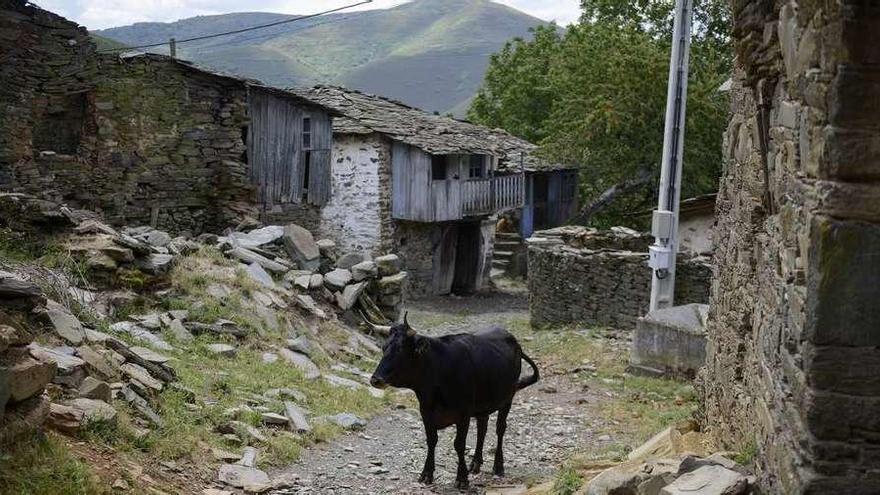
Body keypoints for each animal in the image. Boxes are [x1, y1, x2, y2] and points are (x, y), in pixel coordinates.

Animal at [368, 316, 540, 490]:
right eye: (384, 348)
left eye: (401, 350)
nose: (375, 379)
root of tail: (510, 338)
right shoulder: (426, 412)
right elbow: (431, 441)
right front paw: (426, 474)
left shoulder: (463, 414)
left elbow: (459, 444)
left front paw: (462, 478)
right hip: (483, 405)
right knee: (482, 429)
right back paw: (475, 463)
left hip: (507, 398)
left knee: (500, 429)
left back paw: (498, 467)